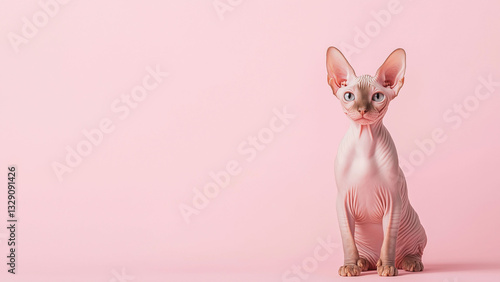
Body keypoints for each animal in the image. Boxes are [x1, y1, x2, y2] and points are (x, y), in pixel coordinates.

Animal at [326, 47, 428, 276]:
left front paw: (388, 267)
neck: (365, 141)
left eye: (378, 96)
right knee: (364, 253)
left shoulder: (393, 201)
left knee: (413, 250)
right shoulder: (342, 201)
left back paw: (407, 262)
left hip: (416, 228)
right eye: (349, 96)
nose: (363, 109)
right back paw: (363, 262)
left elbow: (388, 240)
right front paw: (350, 266)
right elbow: (347, 241)